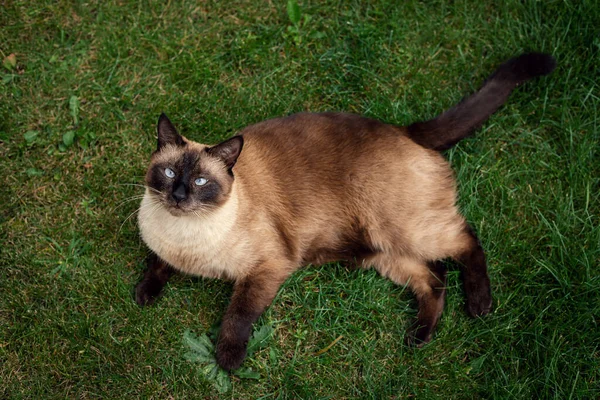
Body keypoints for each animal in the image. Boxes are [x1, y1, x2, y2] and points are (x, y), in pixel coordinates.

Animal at [134, 53, 556, 372]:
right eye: (169, 173)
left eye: (201, 181)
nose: (178, 195)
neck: (186, 236)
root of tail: (405, 130)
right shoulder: (167, 251)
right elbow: (157, 265)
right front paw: (143, 296)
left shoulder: (268, 268)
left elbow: (237, 317)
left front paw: (228, 361)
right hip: (383, 253)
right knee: (434, 280)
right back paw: (418, 338)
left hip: (404, 230)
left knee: (467, 241)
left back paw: (479, 306)